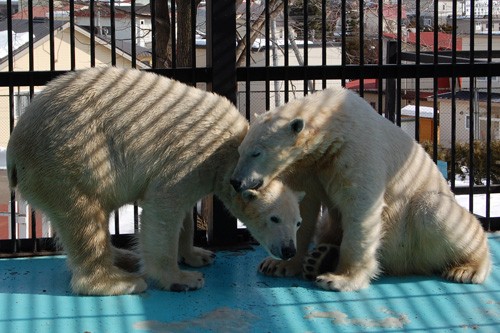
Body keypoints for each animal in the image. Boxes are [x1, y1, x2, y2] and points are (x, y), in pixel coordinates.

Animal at [7, 66, 302, 294]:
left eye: (298, 222)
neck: (234, 152)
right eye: (274, 218)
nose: (289, 250)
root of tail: (14, 150)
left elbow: (184, 213)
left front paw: (198, 255)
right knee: (85, 217)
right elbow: (163, 209)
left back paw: (123, 257)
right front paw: (181, 279)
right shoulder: (191, 154)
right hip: (70, 157)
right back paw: (120, 281)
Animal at [231, 86, 492, 290]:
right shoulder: (308, 165)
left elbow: (360, 207)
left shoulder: (356, 151)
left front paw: (339, 279)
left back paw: (468, 268)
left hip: (414, 224)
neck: (332, 127)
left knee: (436, 213)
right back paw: (320, 257)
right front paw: (279, 264)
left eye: (256, 153)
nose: (236, 181)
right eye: (240, 150)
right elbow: (302, 206)